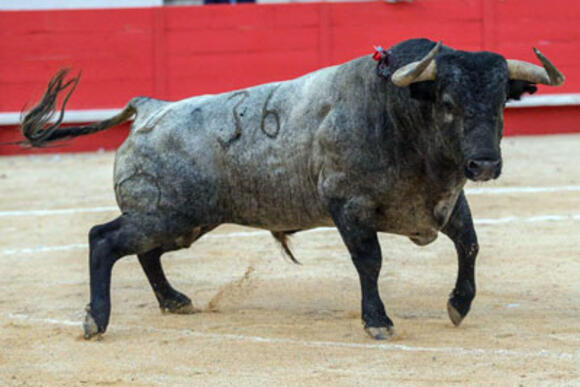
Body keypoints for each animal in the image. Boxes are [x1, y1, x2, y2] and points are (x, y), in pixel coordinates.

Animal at [20, 38, 564, 340]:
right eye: (448, 102)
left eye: (501, 102)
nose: (484, 164)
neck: (401, 112)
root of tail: (151, 106)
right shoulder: (349, 206)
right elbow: (370, 262)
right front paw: (377, 321)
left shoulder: (445, 203)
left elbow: (470, 245)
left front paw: (458, 305)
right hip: (163, 216)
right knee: (104, 240)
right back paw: (97, 320)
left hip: (181, 221)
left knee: (146, 253)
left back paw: (174, 301)